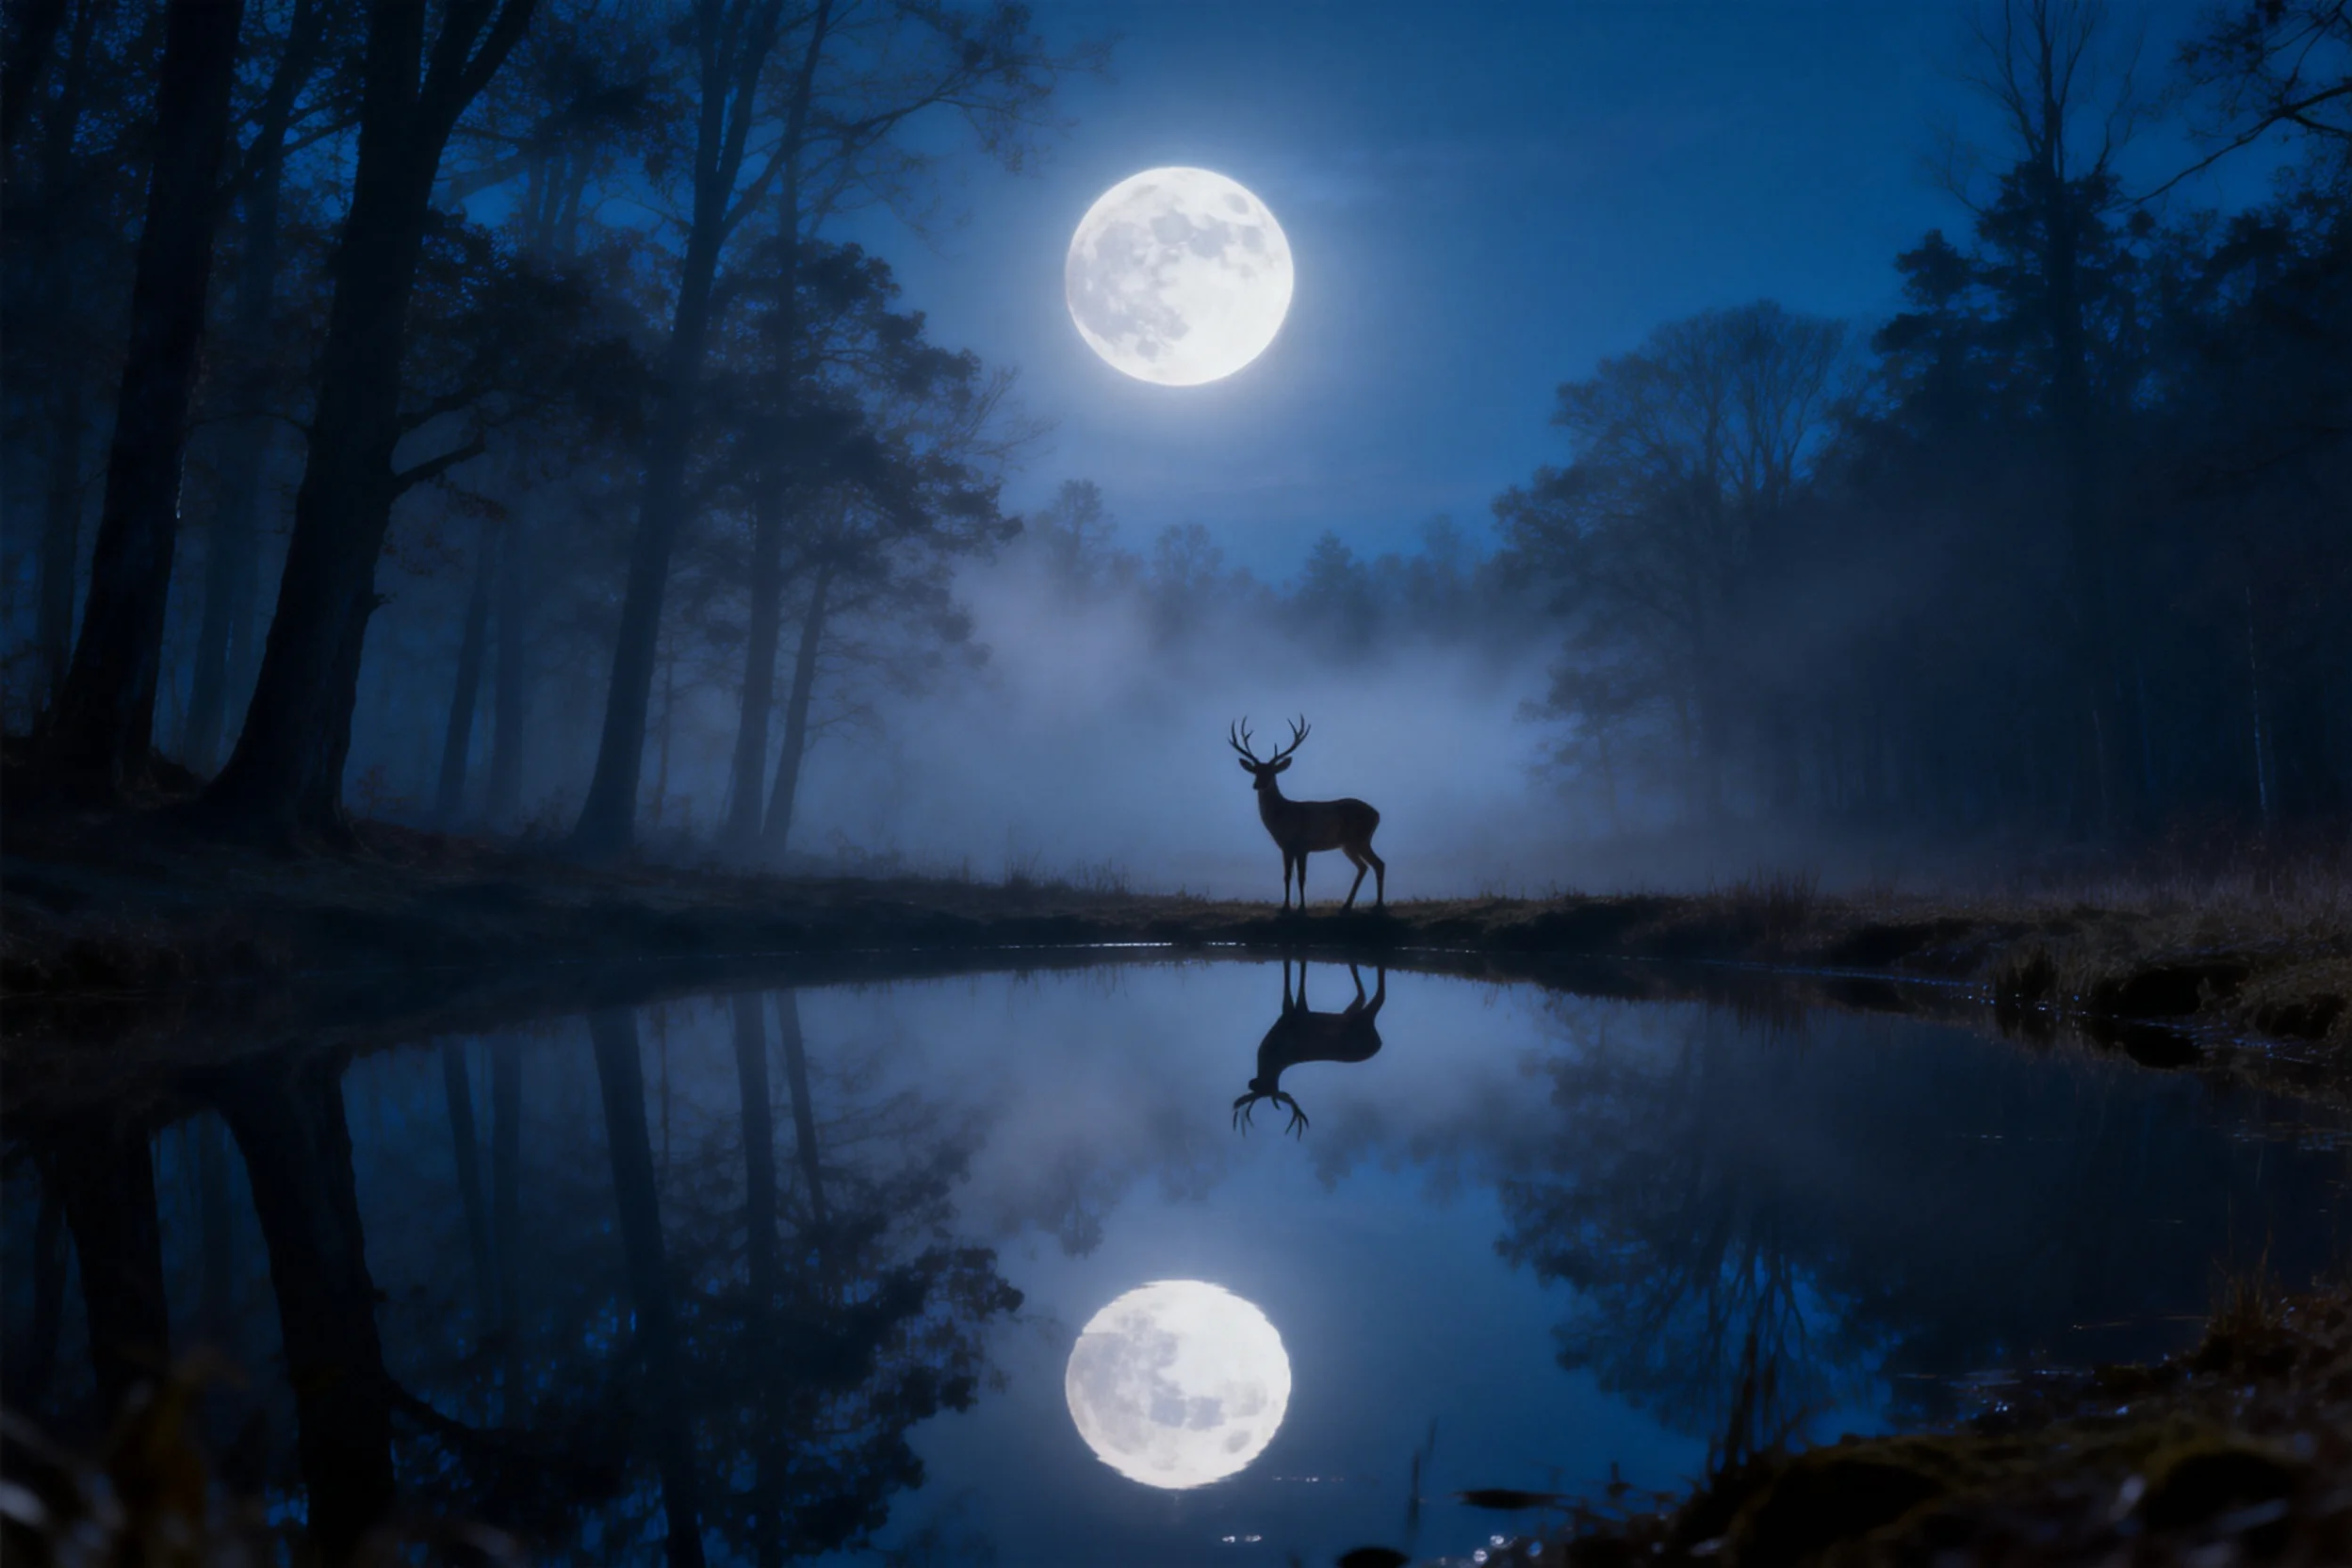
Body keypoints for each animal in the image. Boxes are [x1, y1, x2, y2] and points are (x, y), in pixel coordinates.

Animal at [1228, 716, 1385, 910]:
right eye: (1256, 772)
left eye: (1272, 772)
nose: (1257, 785)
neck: (1283, 817)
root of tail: (1377, 814)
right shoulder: (1285, 847)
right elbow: (1287, 876)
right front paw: (1285, 907)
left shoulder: (1302, 844)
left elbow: (1302, 878)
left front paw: (1301, 907)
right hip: (1349, 844)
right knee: (1364, 867)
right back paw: (1347, 905)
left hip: (1359, 838)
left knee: (1378, 864)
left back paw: (1378, 905)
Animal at [1233, 960, 1387, 1136]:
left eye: (1265, 1087)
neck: (1272, 1054)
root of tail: (1378, 1043)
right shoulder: (1296, 1013)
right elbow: (1297, 982)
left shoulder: (1293, 1013)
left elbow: (1294, 981)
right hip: (1354, 1017)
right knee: (1367, 995)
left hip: (1356, 1021)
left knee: (1376, 995)